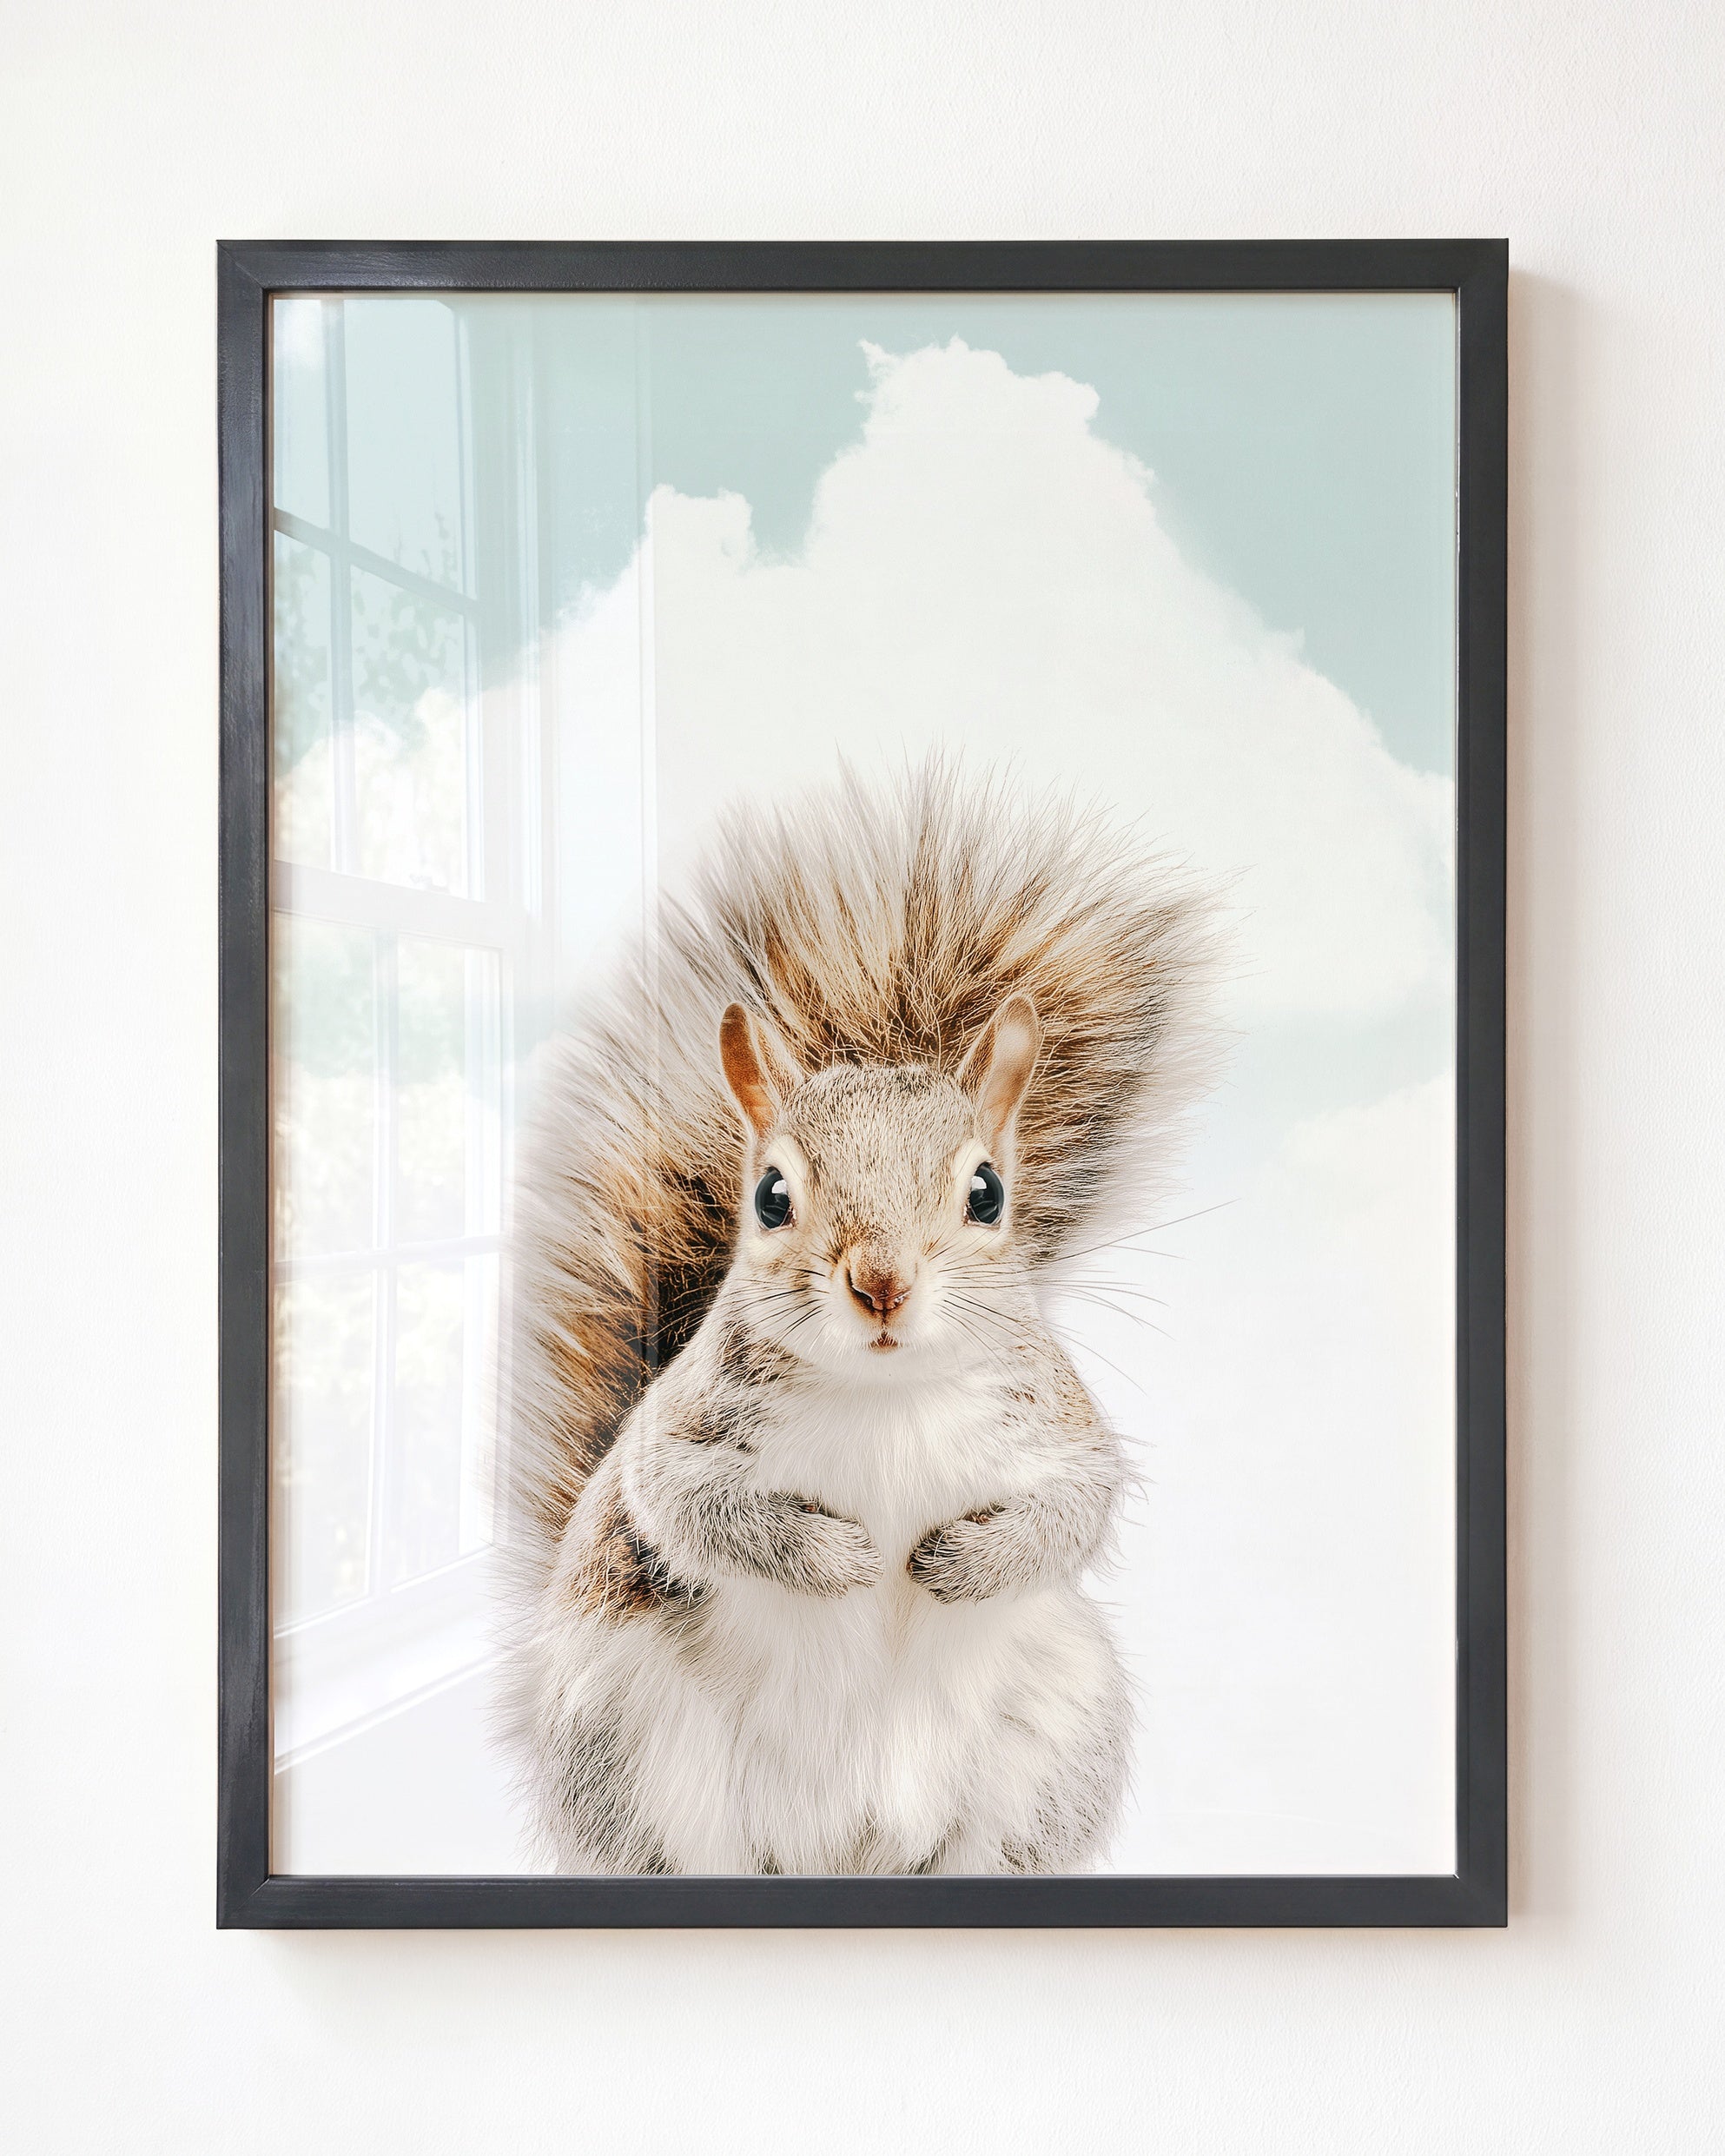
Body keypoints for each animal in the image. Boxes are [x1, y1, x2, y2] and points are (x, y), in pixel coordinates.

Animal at [496, 761, 1217, 1875]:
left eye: (987, 1194)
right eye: (770, 1198)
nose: (881, 1283)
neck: (885, 1394)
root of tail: (846, 1848)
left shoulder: (1059, 1428)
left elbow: (1075, 1508)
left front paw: (959, 1563)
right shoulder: (675, 1440)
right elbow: (693, 1509)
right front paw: (840, 1559)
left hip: (1051, 1740)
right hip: (631, 1747)